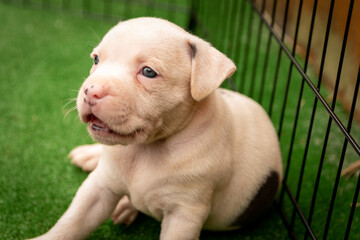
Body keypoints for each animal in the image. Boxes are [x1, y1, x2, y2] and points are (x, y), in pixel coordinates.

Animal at [31, 17, 282, 240]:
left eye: (148, 72)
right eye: (96, 60)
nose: (91, 91)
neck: (147, 148)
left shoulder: (184, 214)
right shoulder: (98, 188)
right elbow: (72, 222)